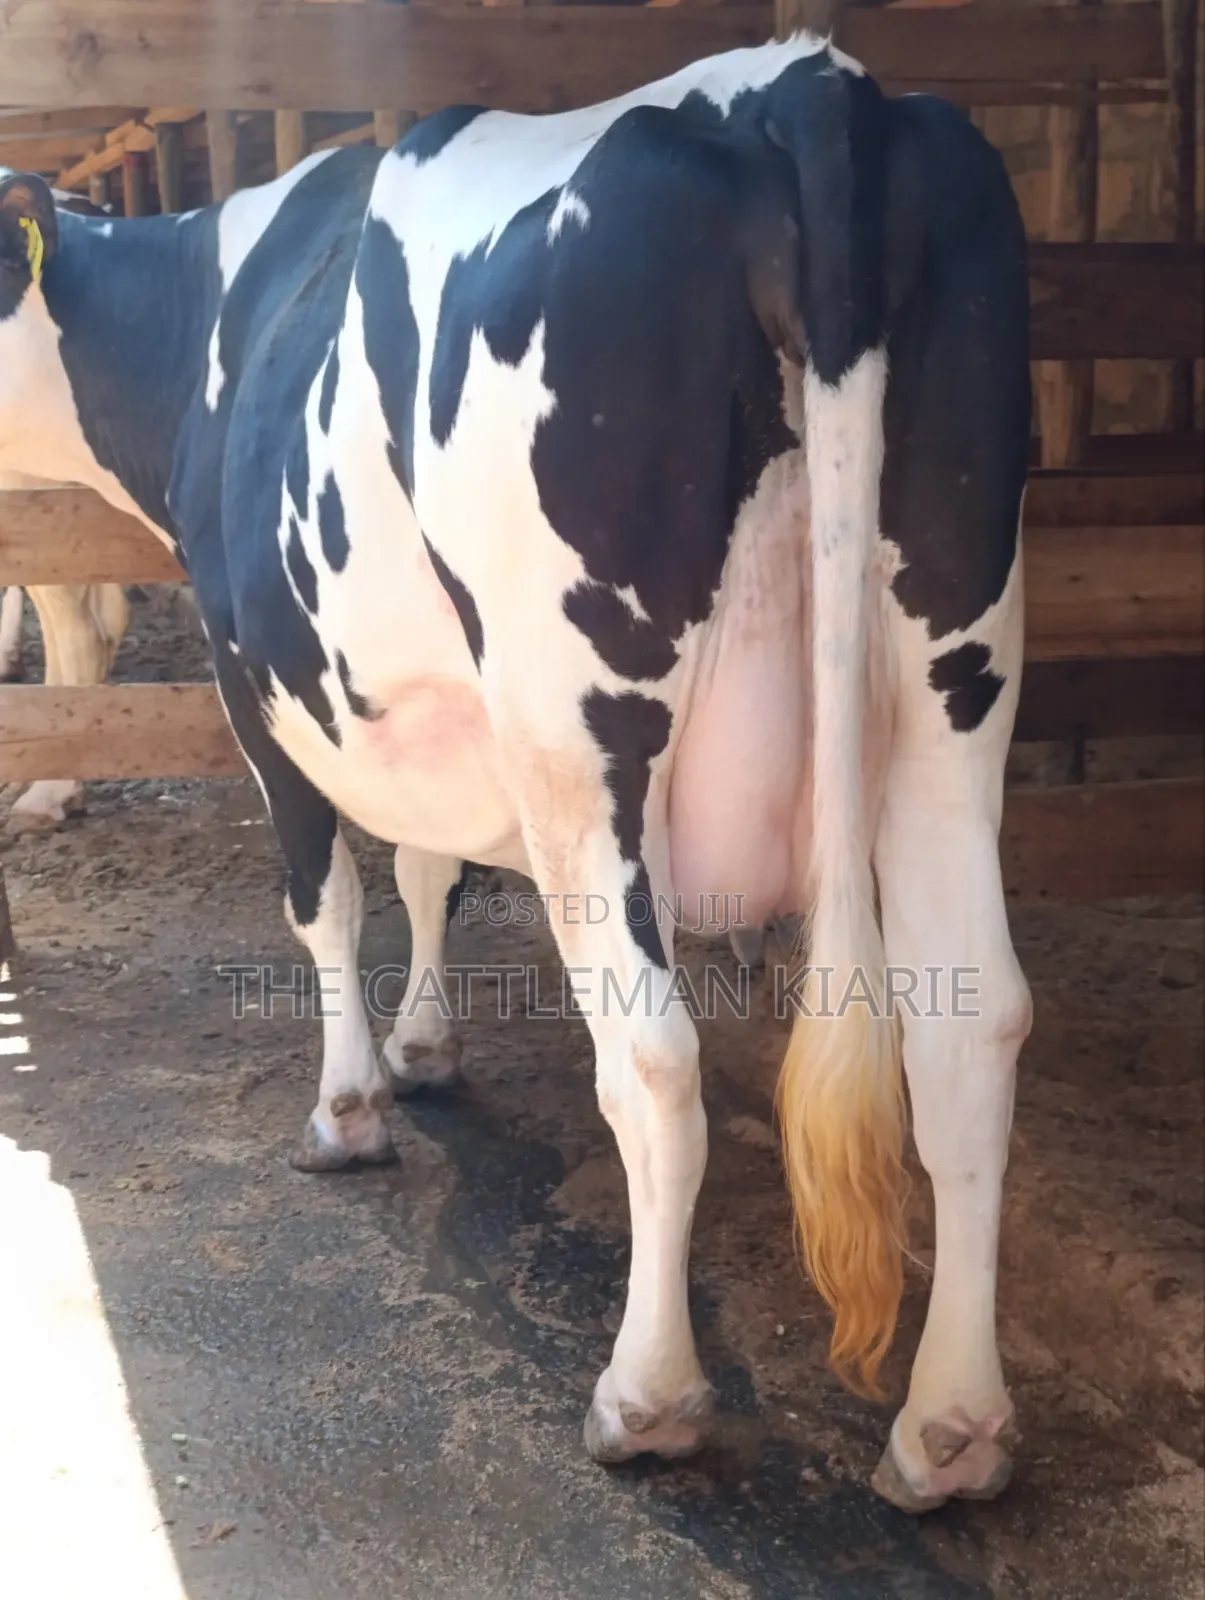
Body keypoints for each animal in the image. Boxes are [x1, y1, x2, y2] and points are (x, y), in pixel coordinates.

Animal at [0, 32, 1033, 1512]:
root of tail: (795, 82)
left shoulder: (261, 674)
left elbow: (324, 899)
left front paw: (350, 1107)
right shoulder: (423, 704)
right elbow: (428, 865)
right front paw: (428, 1044)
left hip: (579, 724)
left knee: (653, 1054)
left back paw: (645, 1396)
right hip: (953, 678)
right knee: (973, 1025)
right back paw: (951, 1427)